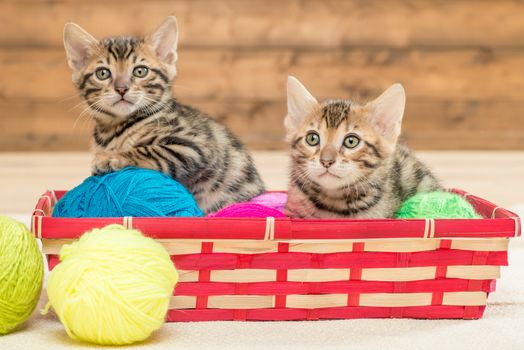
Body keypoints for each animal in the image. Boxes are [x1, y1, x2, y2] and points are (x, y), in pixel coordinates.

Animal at [63, 17, 264, 213]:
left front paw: (112, 158)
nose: (121, 88)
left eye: (140, 71)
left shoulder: (195, 146)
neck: (115, 128)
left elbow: (149, 149)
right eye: (103, 73)